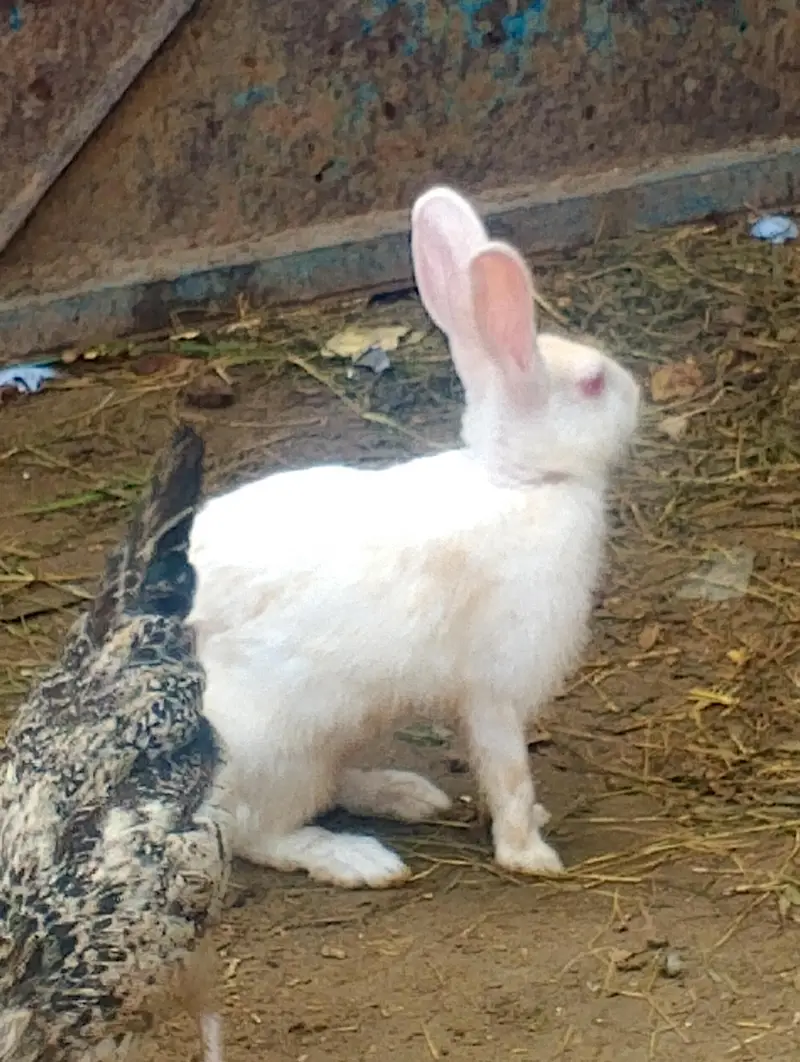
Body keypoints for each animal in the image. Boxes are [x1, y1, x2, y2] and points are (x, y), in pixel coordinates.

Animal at [187, 184, 640, 889]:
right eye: (594, 385)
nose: (638, 393)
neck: (515, 478)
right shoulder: (493, 687)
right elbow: (507, 770)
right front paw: (529, 853)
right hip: (276, 744)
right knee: (254, 831)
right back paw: (356, 858)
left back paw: (404, 793)